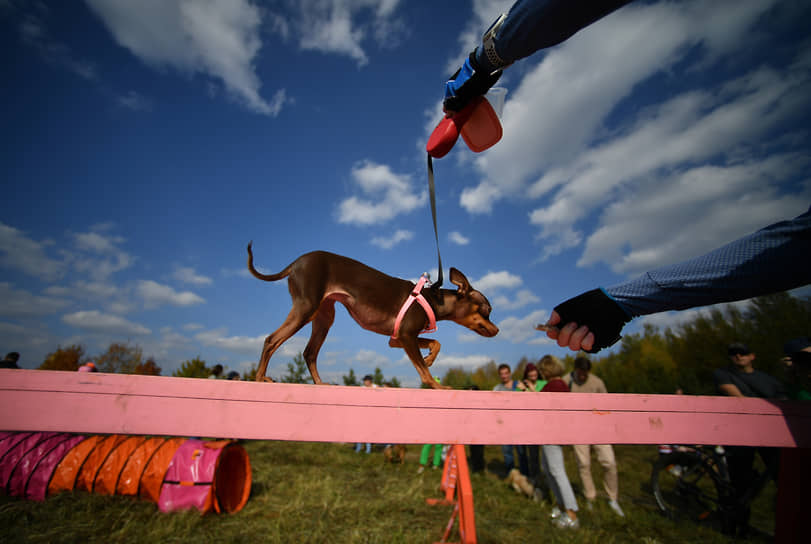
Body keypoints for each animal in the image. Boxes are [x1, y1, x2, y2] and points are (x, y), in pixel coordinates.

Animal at [244, 244, 498, 388]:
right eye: (487, 311)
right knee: (271, 340)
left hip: (324, 317)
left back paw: (319, 383)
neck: (433, 299)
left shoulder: (397, 339)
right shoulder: (406, 336)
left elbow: (436, 343)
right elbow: (424, 373)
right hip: (305, 308)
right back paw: (259, 379)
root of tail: (295, 263)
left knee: (309, 353)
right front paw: (437, 385)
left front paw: (430, 358)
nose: (497, 330)